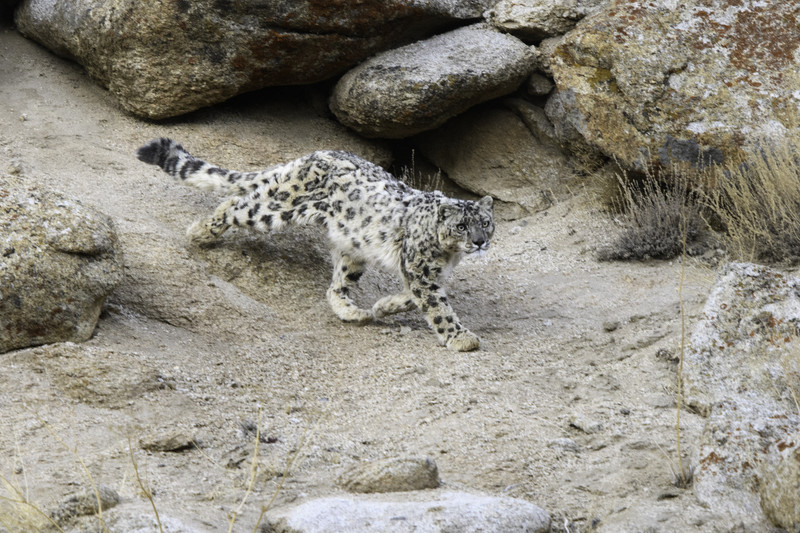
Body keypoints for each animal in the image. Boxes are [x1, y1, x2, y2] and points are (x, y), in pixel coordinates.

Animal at [136, 138, 494, 351]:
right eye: (462, 226)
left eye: (486, 223)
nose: (479, 242)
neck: (449, 256)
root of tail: (314, 154)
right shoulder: (420, 268)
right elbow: (436, 304)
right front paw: (461, 338)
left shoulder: (427, 272)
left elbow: (414, 297)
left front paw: (383, 306)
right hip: (275, 208)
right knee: (237, 204)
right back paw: (199, 232)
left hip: (353, 249)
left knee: (335, 286)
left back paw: (354, 312)